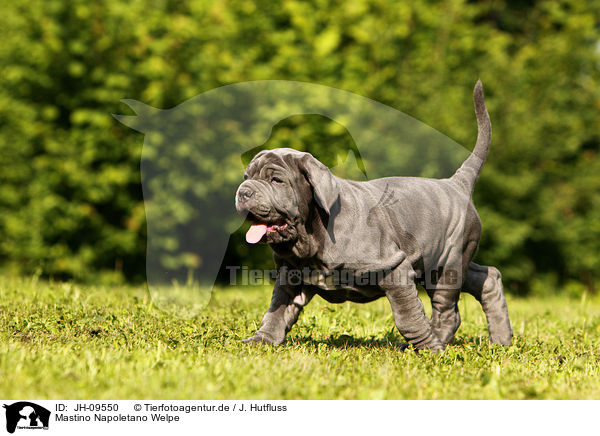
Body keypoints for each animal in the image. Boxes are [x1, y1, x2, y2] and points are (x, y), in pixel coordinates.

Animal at [234, 82, 510, 350]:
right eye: (247, 177)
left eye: (276, 180)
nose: (243, 192)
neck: (312, 235)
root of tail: (456, 183)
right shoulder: (290, 275)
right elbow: (276, 311)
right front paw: (261, 340)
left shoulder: (395, 267)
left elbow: (408, 317)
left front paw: (427, 348)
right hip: (450, 259)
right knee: (487, 277)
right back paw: (501, 341)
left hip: (445, 264)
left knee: (448, 311)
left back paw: (435, 348)